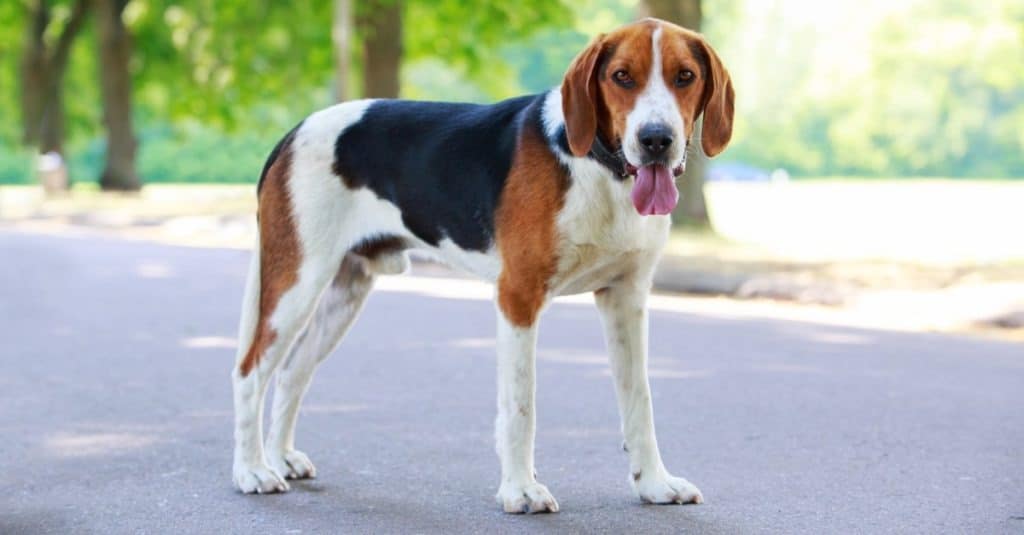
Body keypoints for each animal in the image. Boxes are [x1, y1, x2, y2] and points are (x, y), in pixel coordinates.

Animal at [232, 17, 733, 512]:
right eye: (622, 76)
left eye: (685, 76)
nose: (656, 140)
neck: (600, 169)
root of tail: (294, 132)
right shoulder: (518, 297)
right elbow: (520, 406)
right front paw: (521, 490)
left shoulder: (626, 299)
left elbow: (639, 403)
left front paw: (654, 484)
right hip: (296, 284)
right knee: (249, 372)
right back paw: (252, 471)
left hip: (343, 293)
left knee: (292, 372)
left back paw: (281, 458)